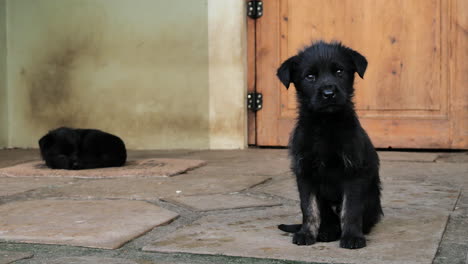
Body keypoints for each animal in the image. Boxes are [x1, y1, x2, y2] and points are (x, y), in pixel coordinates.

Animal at [276, 41, 382, 250]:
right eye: (310, 76)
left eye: (339, 71)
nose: (329, 93)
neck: (326, 124)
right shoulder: (305, 173)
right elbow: (309, 209)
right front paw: (306, 234)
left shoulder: (354, 173)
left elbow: (350, 209)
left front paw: (352, 237)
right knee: (327, 218)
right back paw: (325, 232)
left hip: (372, 200)